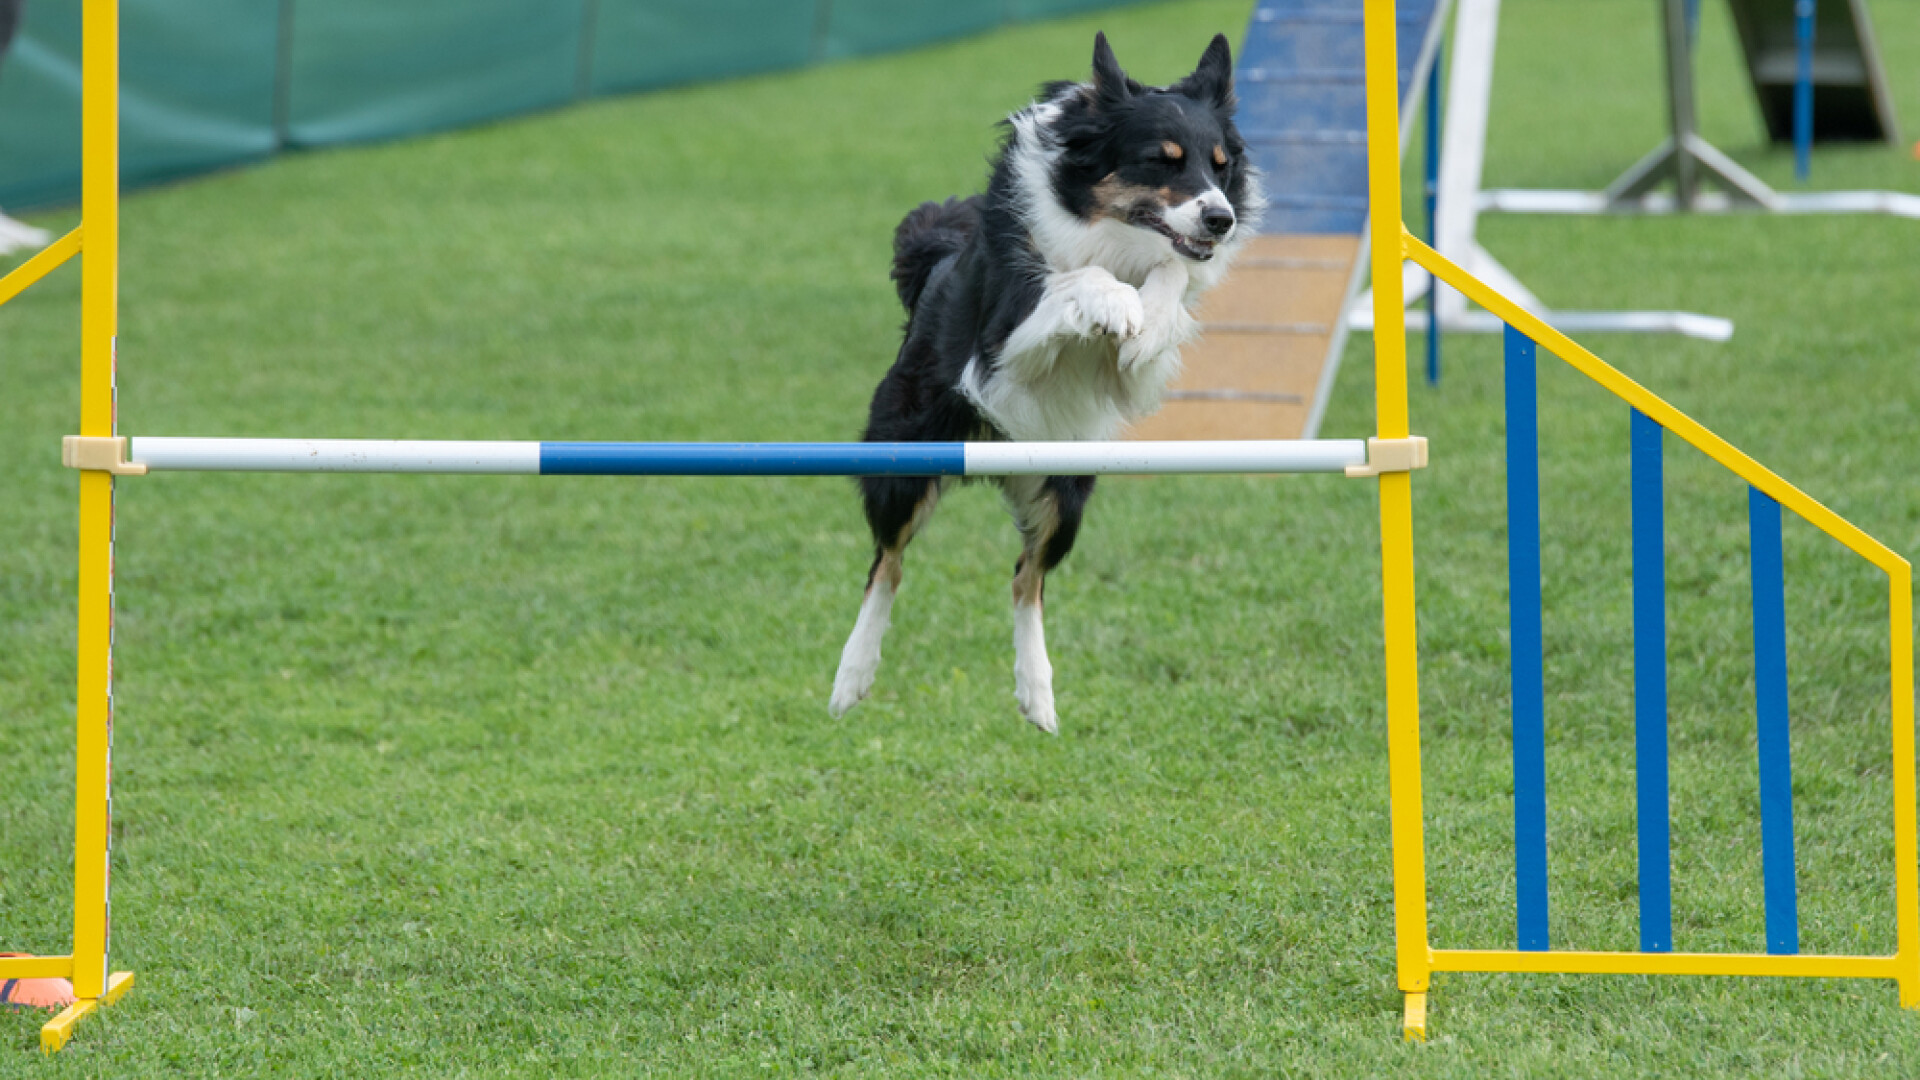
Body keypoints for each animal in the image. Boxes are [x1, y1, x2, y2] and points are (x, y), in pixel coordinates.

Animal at [825, 31, 1259, 730]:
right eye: (1161, 161)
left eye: (1219, 166)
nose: (1222, 219)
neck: (1108, 230)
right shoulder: (1004, 339)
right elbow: (1073, 280)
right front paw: (1114, 302)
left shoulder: (1130, 371)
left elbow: (1165, 284)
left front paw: (1147, 316)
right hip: (904, 458)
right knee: (887, 563)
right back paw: (852, 676)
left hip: (1068, 486)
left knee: (1026, 578)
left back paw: (1038, 692)